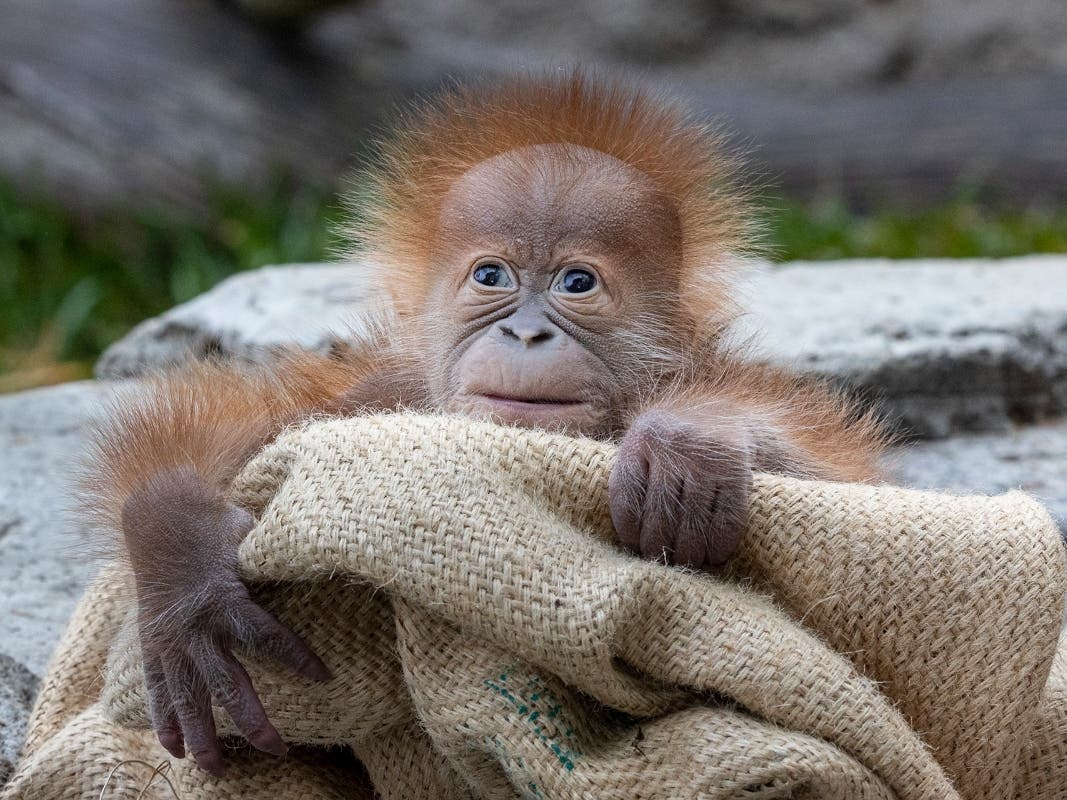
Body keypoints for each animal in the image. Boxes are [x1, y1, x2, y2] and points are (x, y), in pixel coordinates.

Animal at [83, 70, 888, 776]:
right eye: (492, 276)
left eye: (576, 282)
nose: (526, 333)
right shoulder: (380, 390)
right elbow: (250, 434)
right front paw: (183, 569)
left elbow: (845, 489)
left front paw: (685, 441)